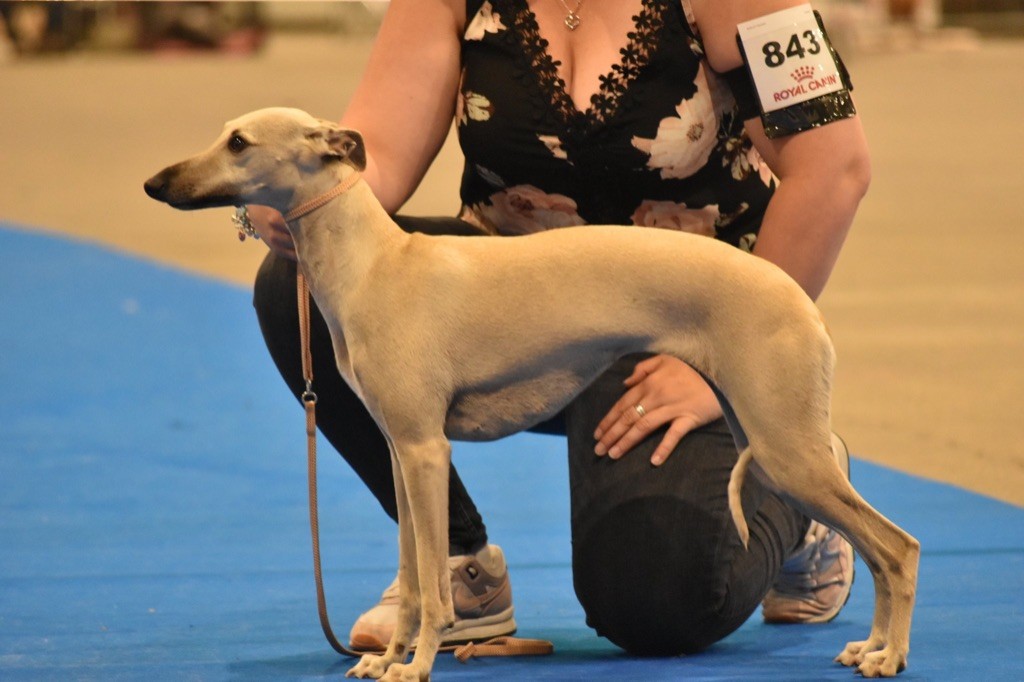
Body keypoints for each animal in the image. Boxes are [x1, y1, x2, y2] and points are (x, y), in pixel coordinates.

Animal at [144, 107, 921, 679]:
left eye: (238, 142)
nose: (156, 183)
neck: (376, 264)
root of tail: (798, 298)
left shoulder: (425, 449)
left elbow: (431, 586)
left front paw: (417, 664)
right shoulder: (401, 452)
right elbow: (412, 574)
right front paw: (387, 659)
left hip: (783, 445)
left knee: (898, 546)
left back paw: (889, 655)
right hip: (766, 437)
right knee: (873, 545)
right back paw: (869, 646)